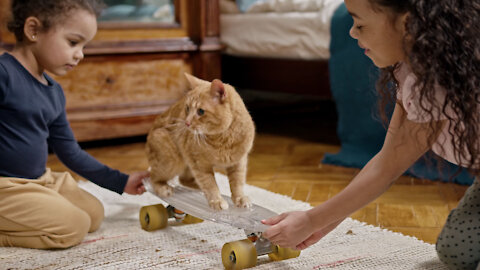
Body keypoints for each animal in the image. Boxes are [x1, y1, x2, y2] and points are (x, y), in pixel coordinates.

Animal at [145, 74, 255, 211]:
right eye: (187, 108)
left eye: (201, 111)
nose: (186, 123)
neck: (223, 139)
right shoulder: (199, 164)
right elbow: (210, 184)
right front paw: (217, 200)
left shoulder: (238, 162)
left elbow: (237, 184)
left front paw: (240, 198)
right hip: (172, 161)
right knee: (152, 177)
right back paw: (163, 189)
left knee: (183, 179)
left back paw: (198, 188)